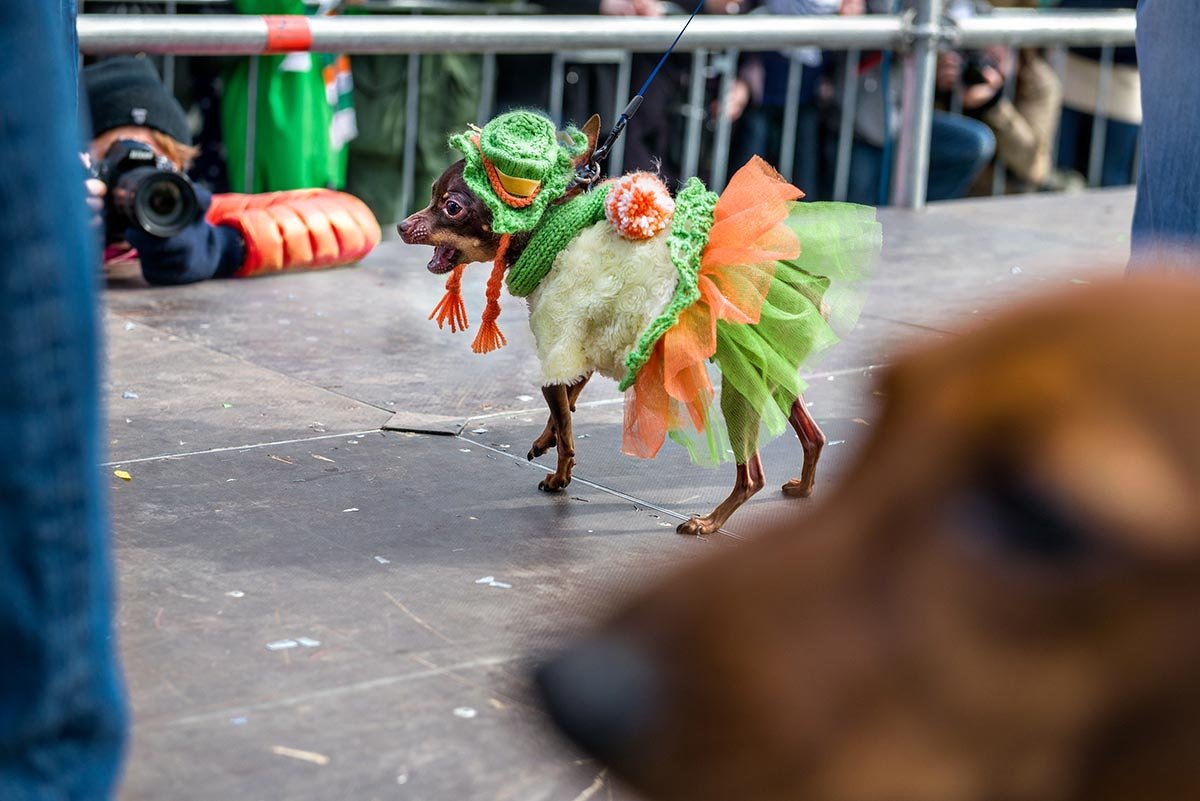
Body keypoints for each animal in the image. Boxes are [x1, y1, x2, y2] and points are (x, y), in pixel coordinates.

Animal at [540, 276, 1200, 801]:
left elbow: (563, 401)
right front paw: (553, 452)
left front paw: (559, 460)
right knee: (812, 435)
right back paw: (802, 487)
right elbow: (566, 400)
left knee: (754, 471)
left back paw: (716, 519)